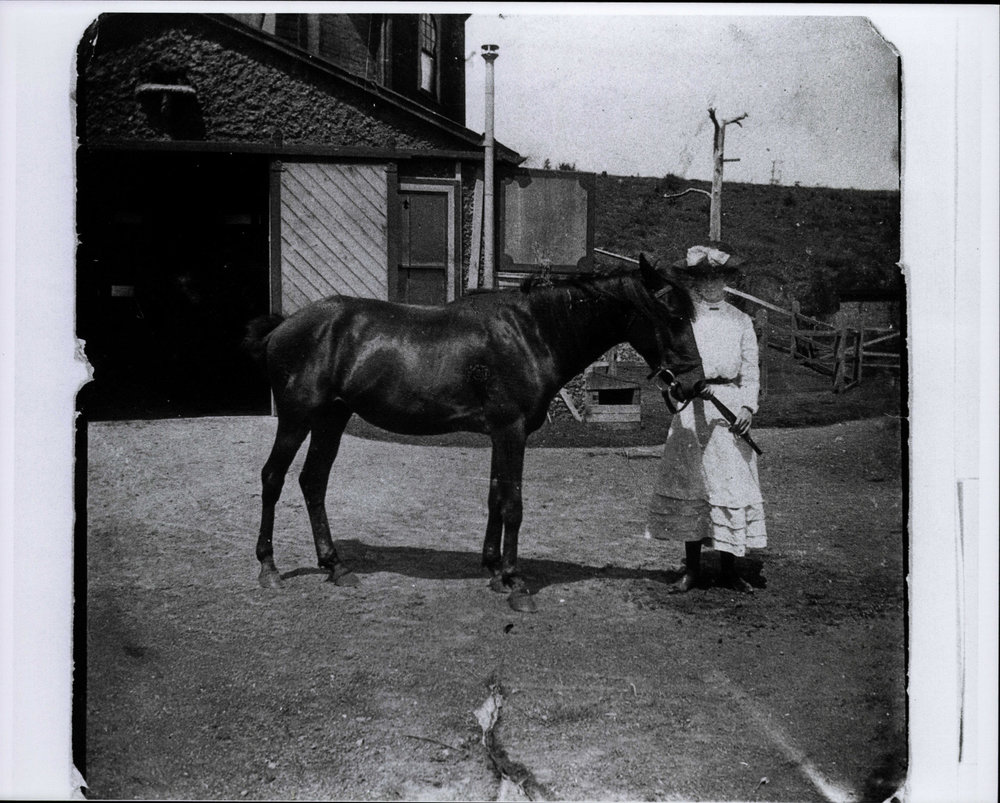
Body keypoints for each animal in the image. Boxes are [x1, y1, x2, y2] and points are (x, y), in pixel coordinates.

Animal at [242, 253, 704, 609]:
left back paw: (335, 566)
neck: (531, 332)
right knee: (273, 478)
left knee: (313, 481)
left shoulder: (501, 433)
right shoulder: (512, 431)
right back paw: (269, 567)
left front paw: (494, 569)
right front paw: (515, 581)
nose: (695, 384)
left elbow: (495, 497)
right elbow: (513, 503)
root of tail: (285, 325)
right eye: (674, 315)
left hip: (331, 419)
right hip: (297, 418)